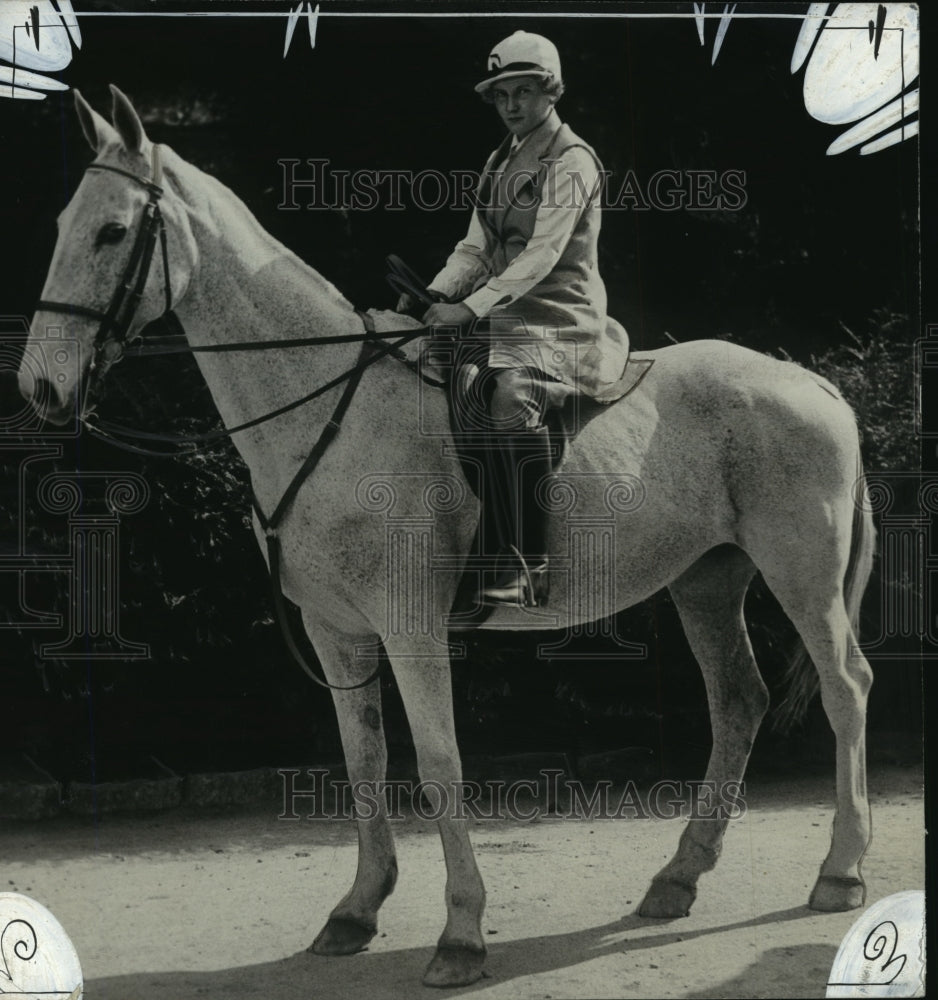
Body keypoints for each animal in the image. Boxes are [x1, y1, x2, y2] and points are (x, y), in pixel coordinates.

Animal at [18, 88, 872, 992]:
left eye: (113, 232)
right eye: (67, 223)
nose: (40, 385)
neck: (330, 411)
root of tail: (810, 380)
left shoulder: (412, 627)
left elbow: (438, 763)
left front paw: (461, 933)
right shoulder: (338, 631)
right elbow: (363, 759)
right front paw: (356, 911)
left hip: (801, 579)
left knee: (844, 687)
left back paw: (840, 870)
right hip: (707, 580)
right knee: (738, 700)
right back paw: (677, 878)